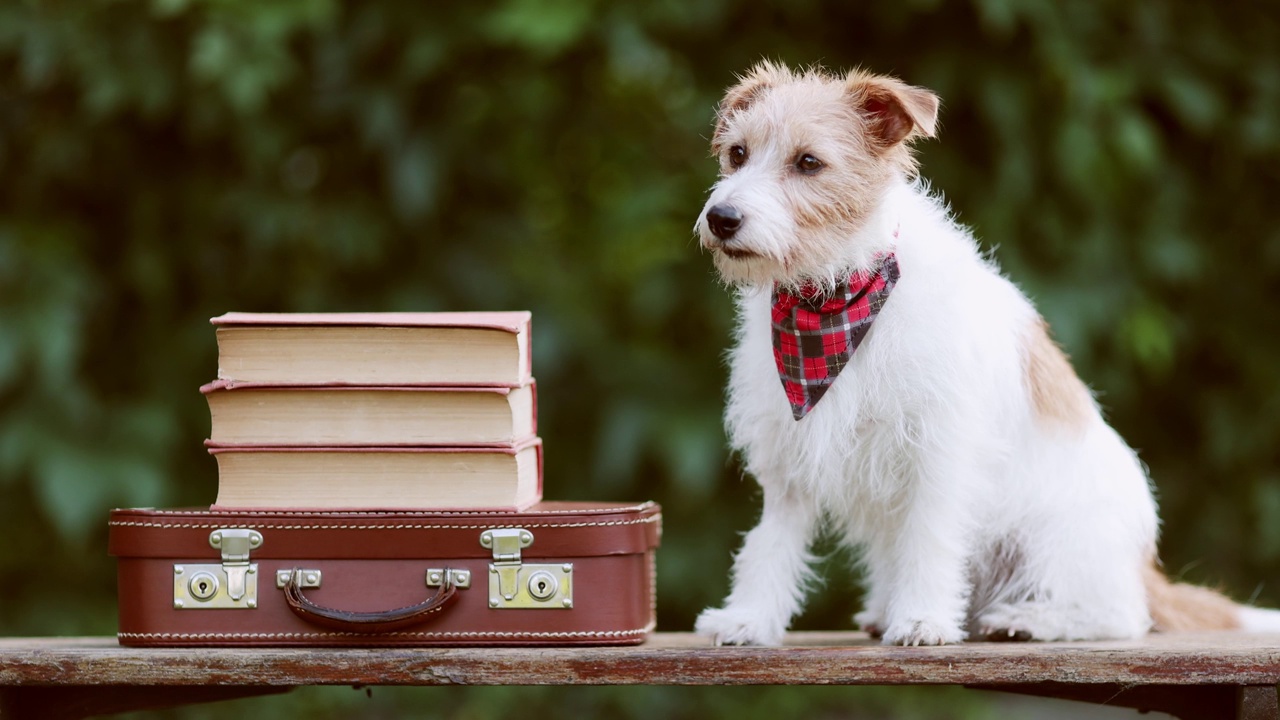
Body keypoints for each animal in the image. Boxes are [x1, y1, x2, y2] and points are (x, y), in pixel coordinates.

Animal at [696, 61, 1280, 645]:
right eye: (738, 154)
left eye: (809, 162)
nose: (722, 217)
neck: (833, 299)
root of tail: (1143, 571)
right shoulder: (788, 460)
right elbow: (770, 544)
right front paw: (750, 618)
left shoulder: (939, 452)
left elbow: (929, 537)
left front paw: (923, 619)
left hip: (1058, 543)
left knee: (1119, 616)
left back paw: (1027, 619)